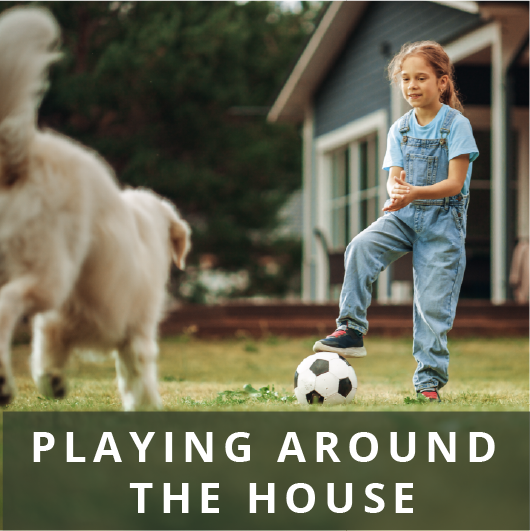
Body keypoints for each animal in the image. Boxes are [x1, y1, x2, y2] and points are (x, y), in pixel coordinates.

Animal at [0, 5, 191, 412]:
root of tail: (23, 154)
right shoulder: (136, 330)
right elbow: (139, 382)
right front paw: (149, 408)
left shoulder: (58, 325)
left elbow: (47, 357)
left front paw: (53, 380)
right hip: (49, 270)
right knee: (8, 301)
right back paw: (3, 383)